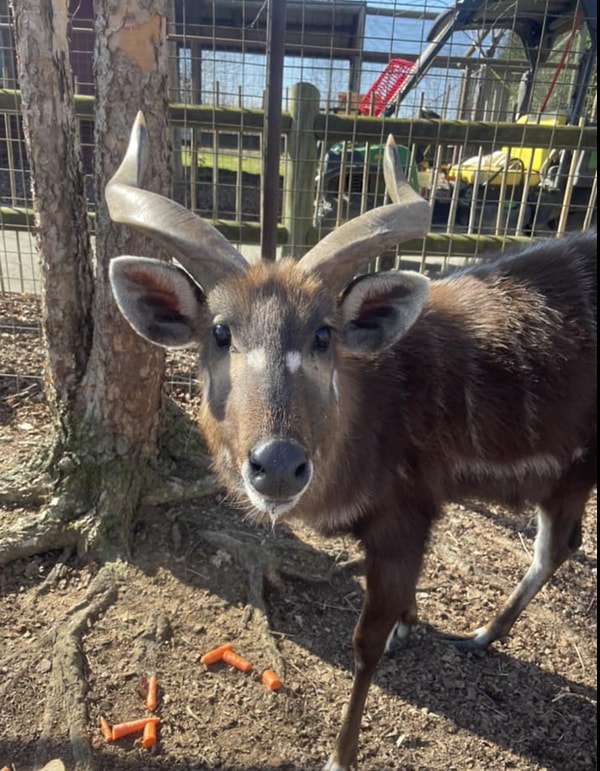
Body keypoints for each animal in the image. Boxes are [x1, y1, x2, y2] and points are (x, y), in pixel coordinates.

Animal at [106, 113, 596, 771]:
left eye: (323, 333)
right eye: (219, 332)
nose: (278, 466)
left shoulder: (402, 516)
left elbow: (364, 644)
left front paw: (342, 752)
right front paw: (409, 628)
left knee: (556, 548)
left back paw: (481, 635)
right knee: (559, 547)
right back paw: (483, 636)